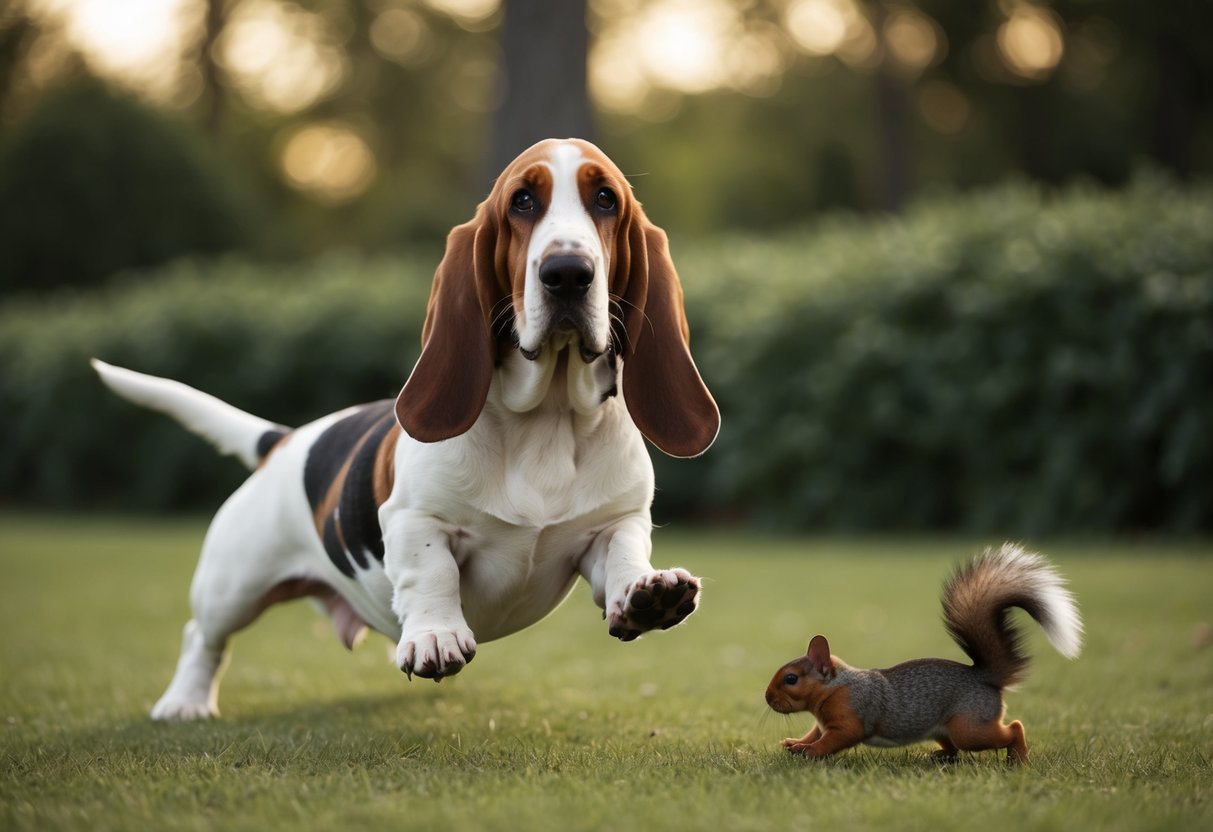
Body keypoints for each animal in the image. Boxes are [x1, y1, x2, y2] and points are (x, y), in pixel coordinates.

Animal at [765, 543, 1083, 765]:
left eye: (791, 678)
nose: (767, 698)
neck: (835, 688)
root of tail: (986, 679)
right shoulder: (823, 722)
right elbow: (815, 732)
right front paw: (795, 743)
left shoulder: (850, 718)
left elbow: (831, 740)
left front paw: (809, 751)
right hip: (944, 731)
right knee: (953, 751)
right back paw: (937, 757)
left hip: (969, 728)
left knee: (1013, 728)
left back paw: (1018, 759)